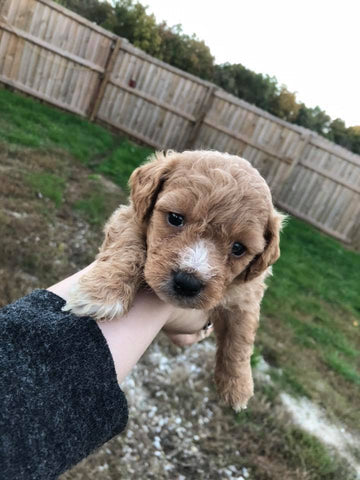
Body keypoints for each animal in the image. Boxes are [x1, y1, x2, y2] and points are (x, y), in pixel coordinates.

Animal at [64, 152, 284, 410]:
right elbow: (128, 245)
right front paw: (103, 293)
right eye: (175, 218)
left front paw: (237, 386)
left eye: (238, 248)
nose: (188, 282)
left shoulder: (248, 292)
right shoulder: (130, 216)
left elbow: (241, 336)